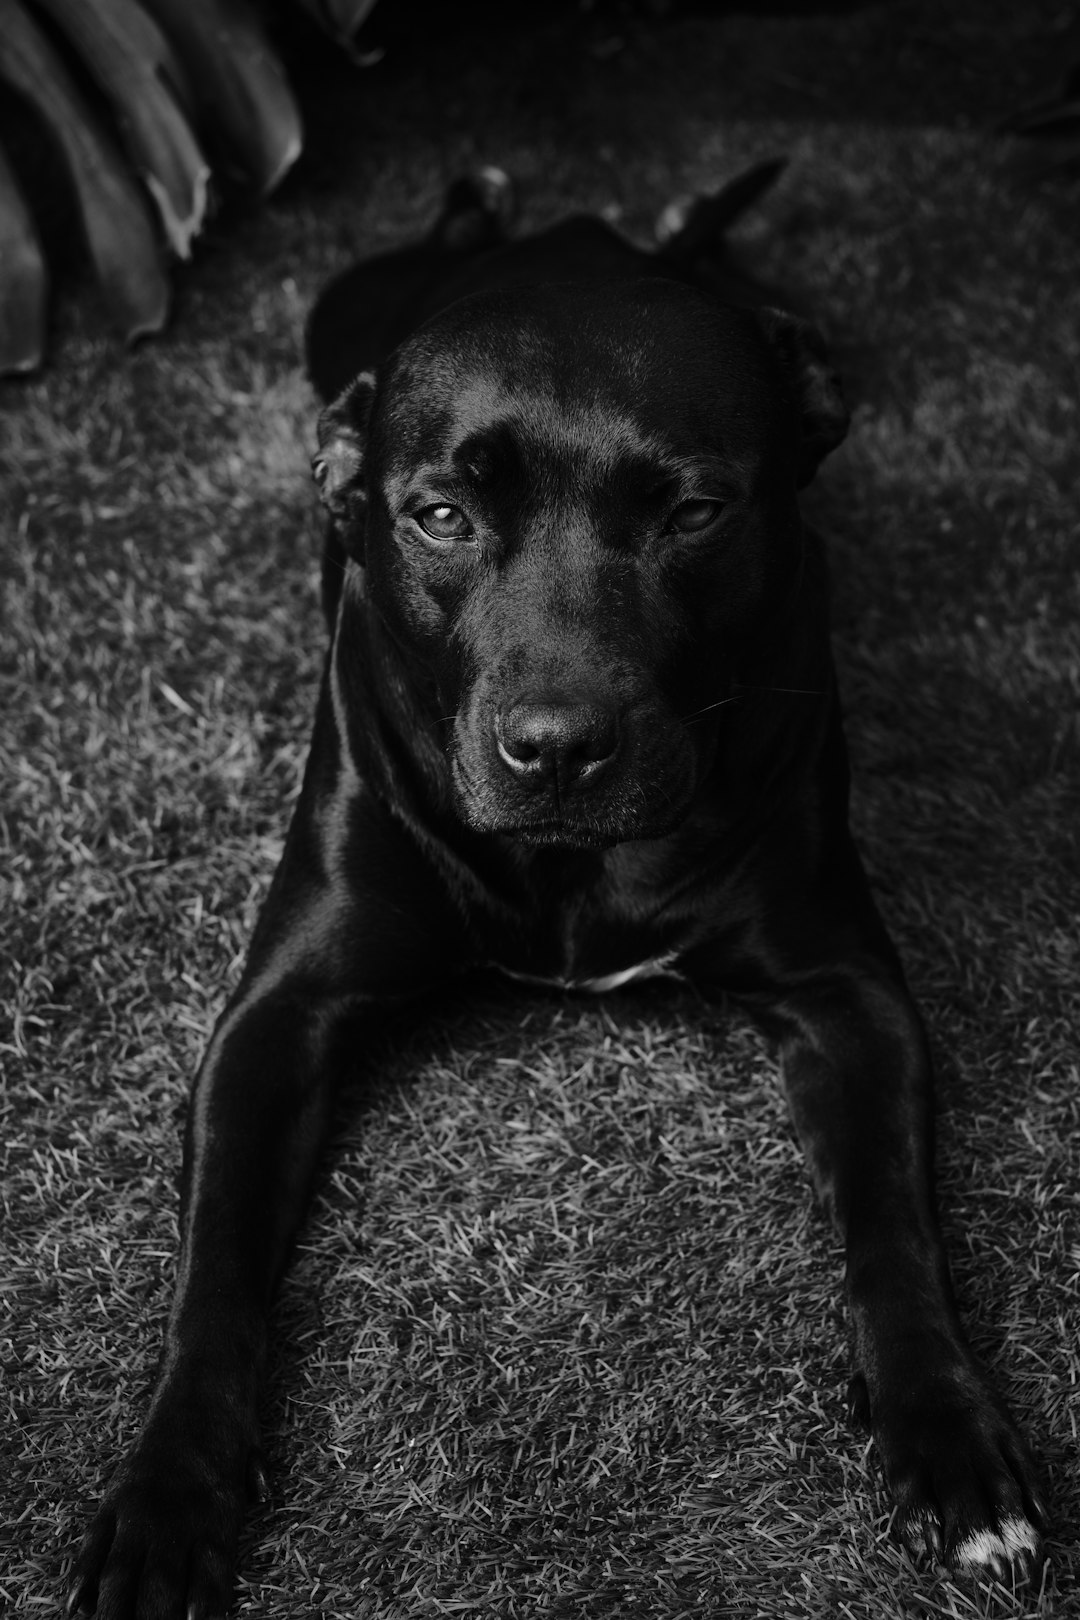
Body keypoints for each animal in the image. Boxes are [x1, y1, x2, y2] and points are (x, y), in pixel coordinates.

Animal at [69, 170, 1049, 1613]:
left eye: (693, 513)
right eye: (440, 515)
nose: (558, 745)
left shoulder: (849, 997)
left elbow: (895, 1227)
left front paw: (949, 1434)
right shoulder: (277, 1022)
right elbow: (216, 1272)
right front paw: (166, 1498)